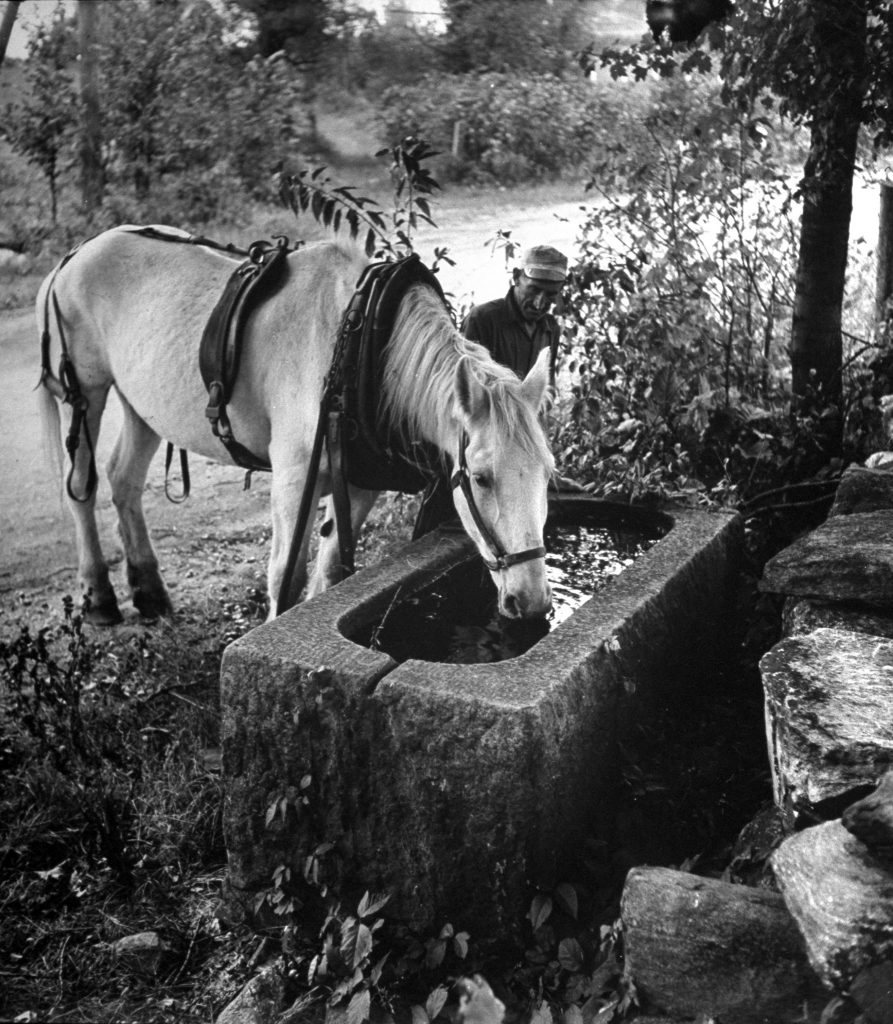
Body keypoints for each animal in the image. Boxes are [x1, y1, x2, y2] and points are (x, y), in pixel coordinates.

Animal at [38, 226, 553, 622]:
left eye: (548, 475)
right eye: (481, 478)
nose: (531, 601)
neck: (357, 344)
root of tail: (75, 255)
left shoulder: (359, 485)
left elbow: (330, 576)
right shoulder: (291, 482)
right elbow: (285, 578)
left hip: (141, 403)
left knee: (123, 479)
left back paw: (148, 592)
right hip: (86, 392)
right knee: (79, 488)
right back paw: (99, 597)